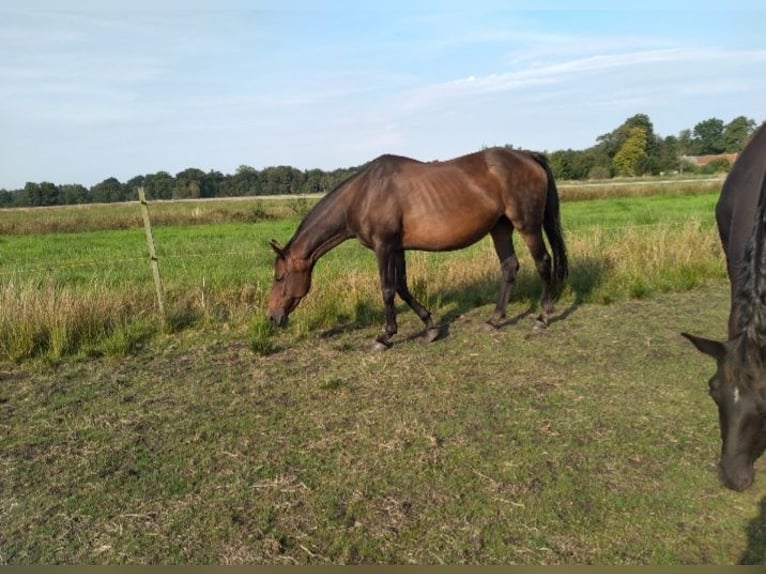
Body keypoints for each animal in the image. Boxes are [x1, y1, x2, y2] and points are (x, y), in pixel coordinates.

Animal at [268, 147, 568, 352]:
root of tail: (529, 156)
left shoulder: (383, 247)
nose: (272, 317)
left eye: (279, 277)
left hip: (527, 225)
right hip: (501, 228)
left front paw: (385, 336)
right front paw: (430, 327)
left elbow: (388, 290)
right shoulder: (397, 248)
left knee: (543, 262)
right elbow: (402, 286)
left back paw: (542, 317)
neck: (364, 195)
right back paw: (494, 320)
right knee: (509, 267)